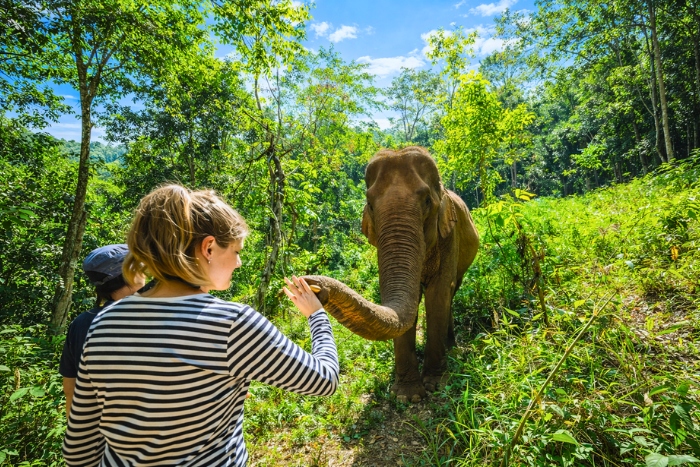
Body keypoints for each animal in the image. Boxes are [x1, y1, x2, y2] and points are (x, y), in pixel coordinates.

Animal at [304, 146, 479, 403]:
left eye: (427, 201)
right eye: (370, 204)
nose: (312, 284)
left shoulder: (449, 235)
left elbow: (438, 293)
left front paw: (436, 385)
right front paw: (408, 396)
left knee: (451, 291)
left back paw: (450, 346)